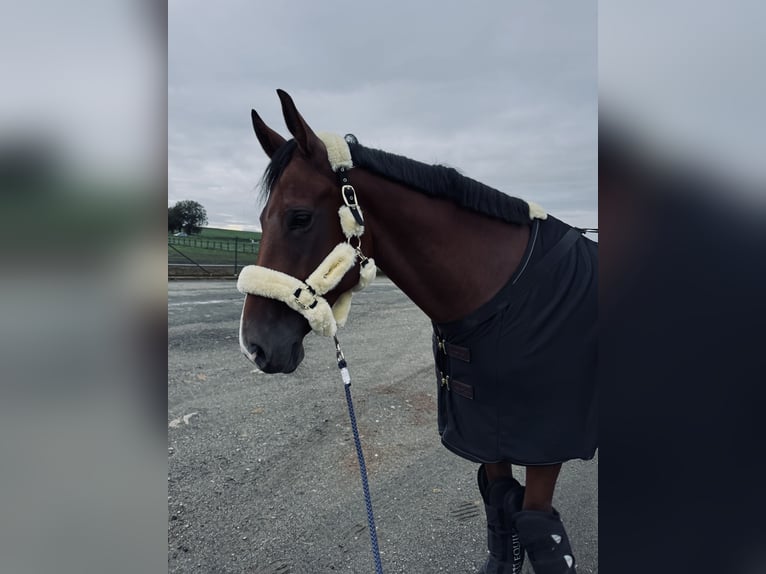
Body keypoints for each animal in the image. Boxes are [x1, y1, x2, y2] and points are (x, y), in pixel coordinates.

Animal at [240, 90, 600, 574]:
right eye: (261, 219)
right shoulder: (485, 438)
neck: (506, 297)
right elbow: (502, 506)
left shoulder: (545, 446)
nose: (254, 346)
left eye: (299, 217)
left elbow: (540, 527)